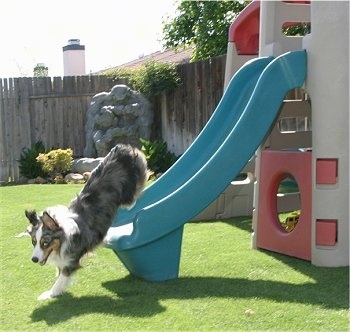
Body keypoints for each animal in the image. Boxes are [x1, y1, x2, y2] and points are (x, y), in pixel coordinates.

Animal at [24, 144, 148, 300]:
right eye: (33, 242)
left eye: (45, 243)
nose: (34, 259)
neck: (63, 239)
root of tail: (122, 147)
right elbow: (59, 273)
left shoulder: (72, 260)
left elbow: (61, 279)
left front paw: (49, 294)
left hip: (131, 185)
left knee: (137, 189)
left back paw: (131, 204)